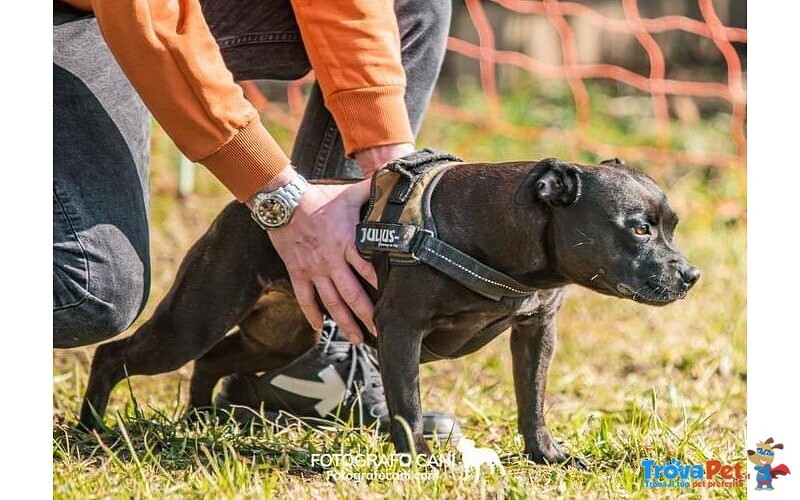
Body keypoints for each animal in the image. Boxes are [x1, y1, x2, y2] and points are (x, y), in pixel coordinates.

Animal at [78, 154, 696, 466]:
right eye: (639, 229)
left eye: (671, 227)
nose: (690, 275)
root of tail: (241, 208)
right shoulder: (401, 331)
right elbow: (408, 404)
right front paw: (418, 460)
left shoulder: (534, 331)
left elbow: (533, 402)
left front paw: (547, 455)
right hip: (194, 318)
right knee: (116, 354)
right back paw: (90, 429)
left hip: (282, 334)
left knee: (215, 361)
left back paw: (200, 420)